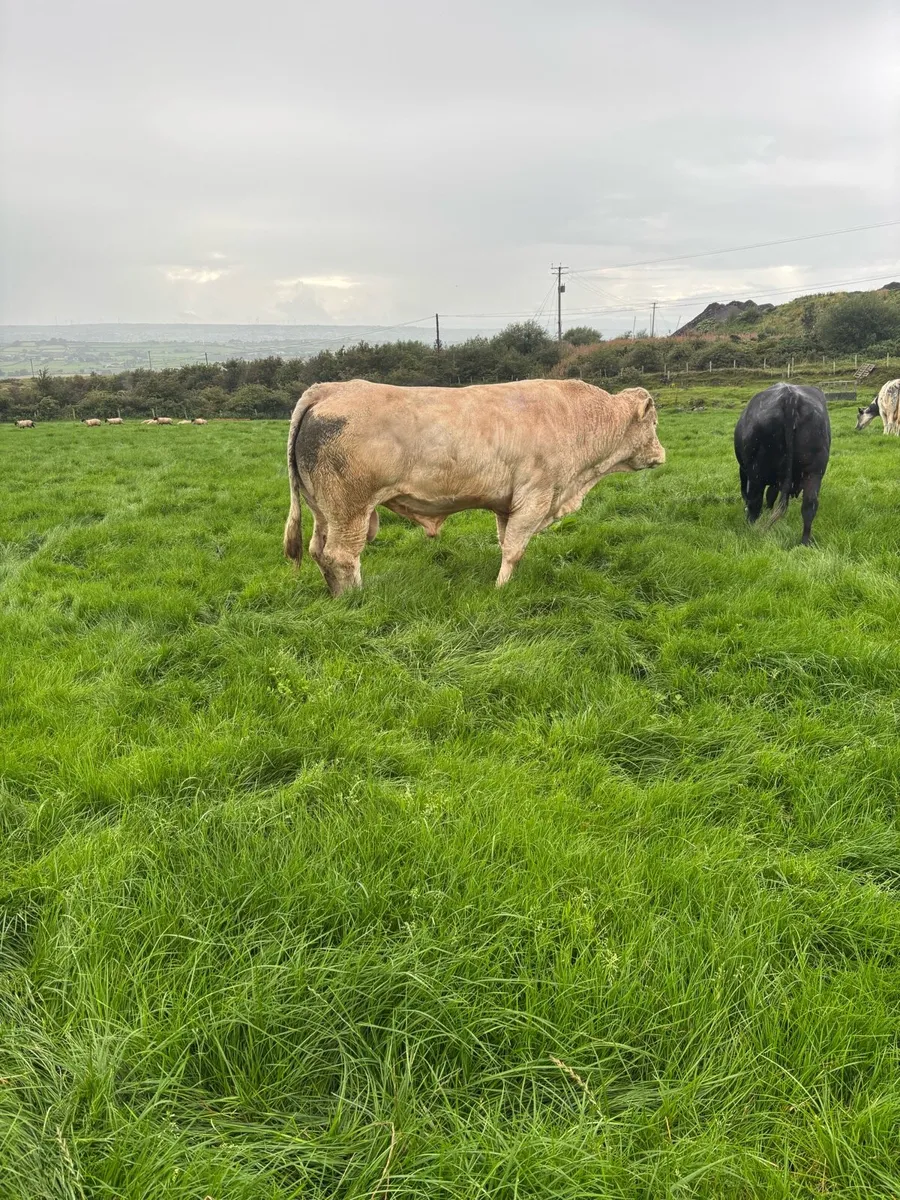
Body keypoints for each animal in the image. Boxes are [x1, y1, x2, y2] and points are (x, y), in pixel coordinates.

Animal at [284, 378, 666, 596]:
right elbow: (514, 548)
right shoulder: (536, 497)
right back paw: (355, 597)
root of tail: (332, 389)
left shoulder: (509, 504)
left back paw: (336, 594)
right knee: (341, 555)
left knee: (319, 551)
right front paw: (500, 590)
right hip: (350, 509)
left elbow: (507, 543)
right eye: (655, 423)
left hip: (324, 509)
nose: (662, 455)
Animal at [734, 382, 831, 546]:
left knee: (755, 503)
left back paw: (751, 531)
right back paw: (805, 542)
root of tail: (790, 396)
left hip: (756, 474)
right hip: (814, 472)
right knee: (809, 506)